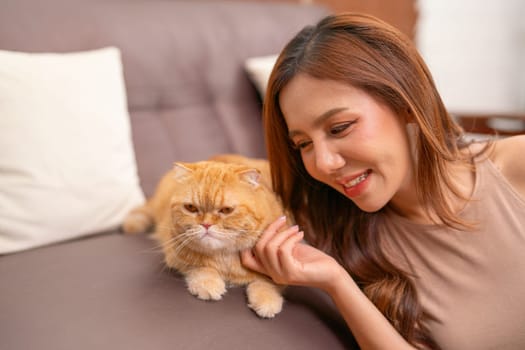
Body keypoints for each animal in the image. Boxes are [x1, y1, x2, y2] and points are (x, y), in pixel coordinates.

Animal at [122, 154, 286, 318]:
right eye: (191, 208)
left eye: (226, 210)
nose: (206, 225)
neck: (225, 260)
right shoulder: (176, 256)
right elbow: (201, 268)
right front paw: (208, 284)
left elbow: (266, 281)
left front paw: (267, 300)